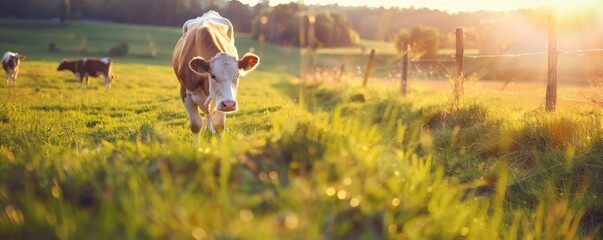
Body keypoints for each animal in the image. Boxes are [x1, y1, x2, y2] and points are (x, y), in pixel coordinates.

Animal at [173, 10, 260, 146]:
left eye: (237, 76)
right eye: (213, 75)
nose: (229, 105)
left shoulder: (225, 97)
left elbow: (219, 125)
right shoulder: (185, 94)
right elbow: (195, 125)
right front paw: (196, 148)